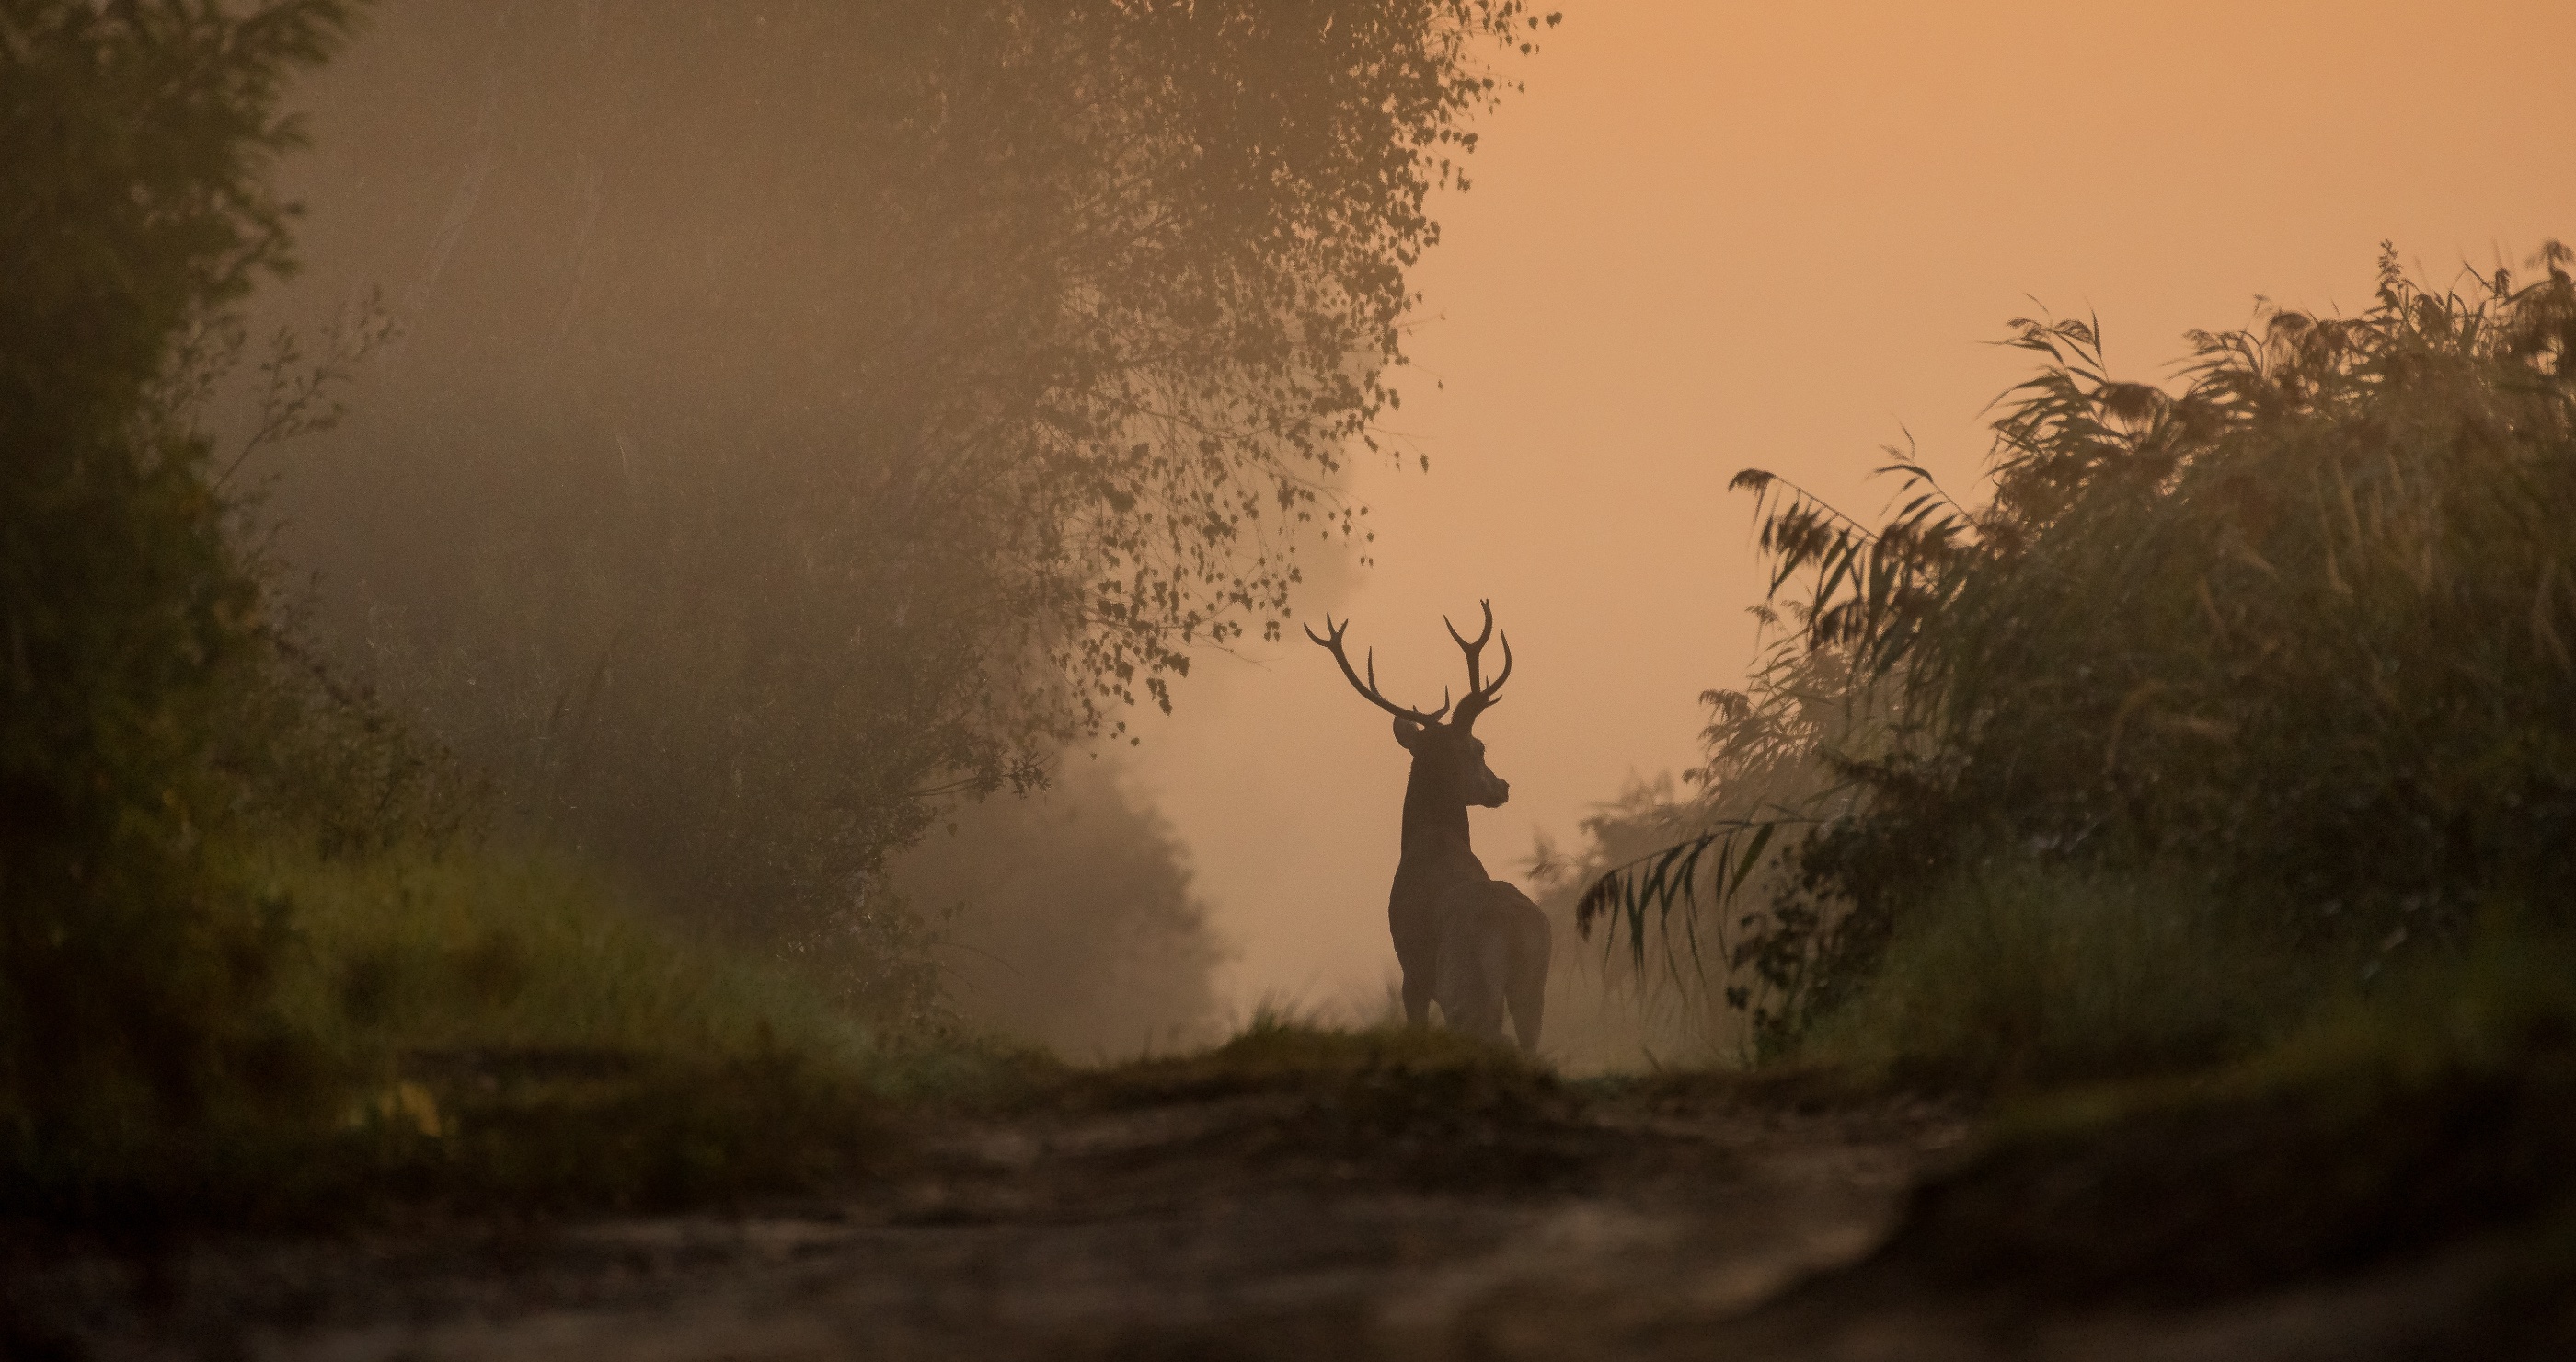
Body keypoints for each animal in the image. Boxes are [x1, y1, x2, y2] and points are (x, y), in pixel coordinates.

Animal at [1308, 597, 1546, 1050]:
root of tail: (1512, 924)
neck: (1430, 845)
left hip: (1461, 979)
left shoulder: (1412, 974)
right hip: (1535, 983)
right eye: (1479, 748)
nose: (1502, 786)